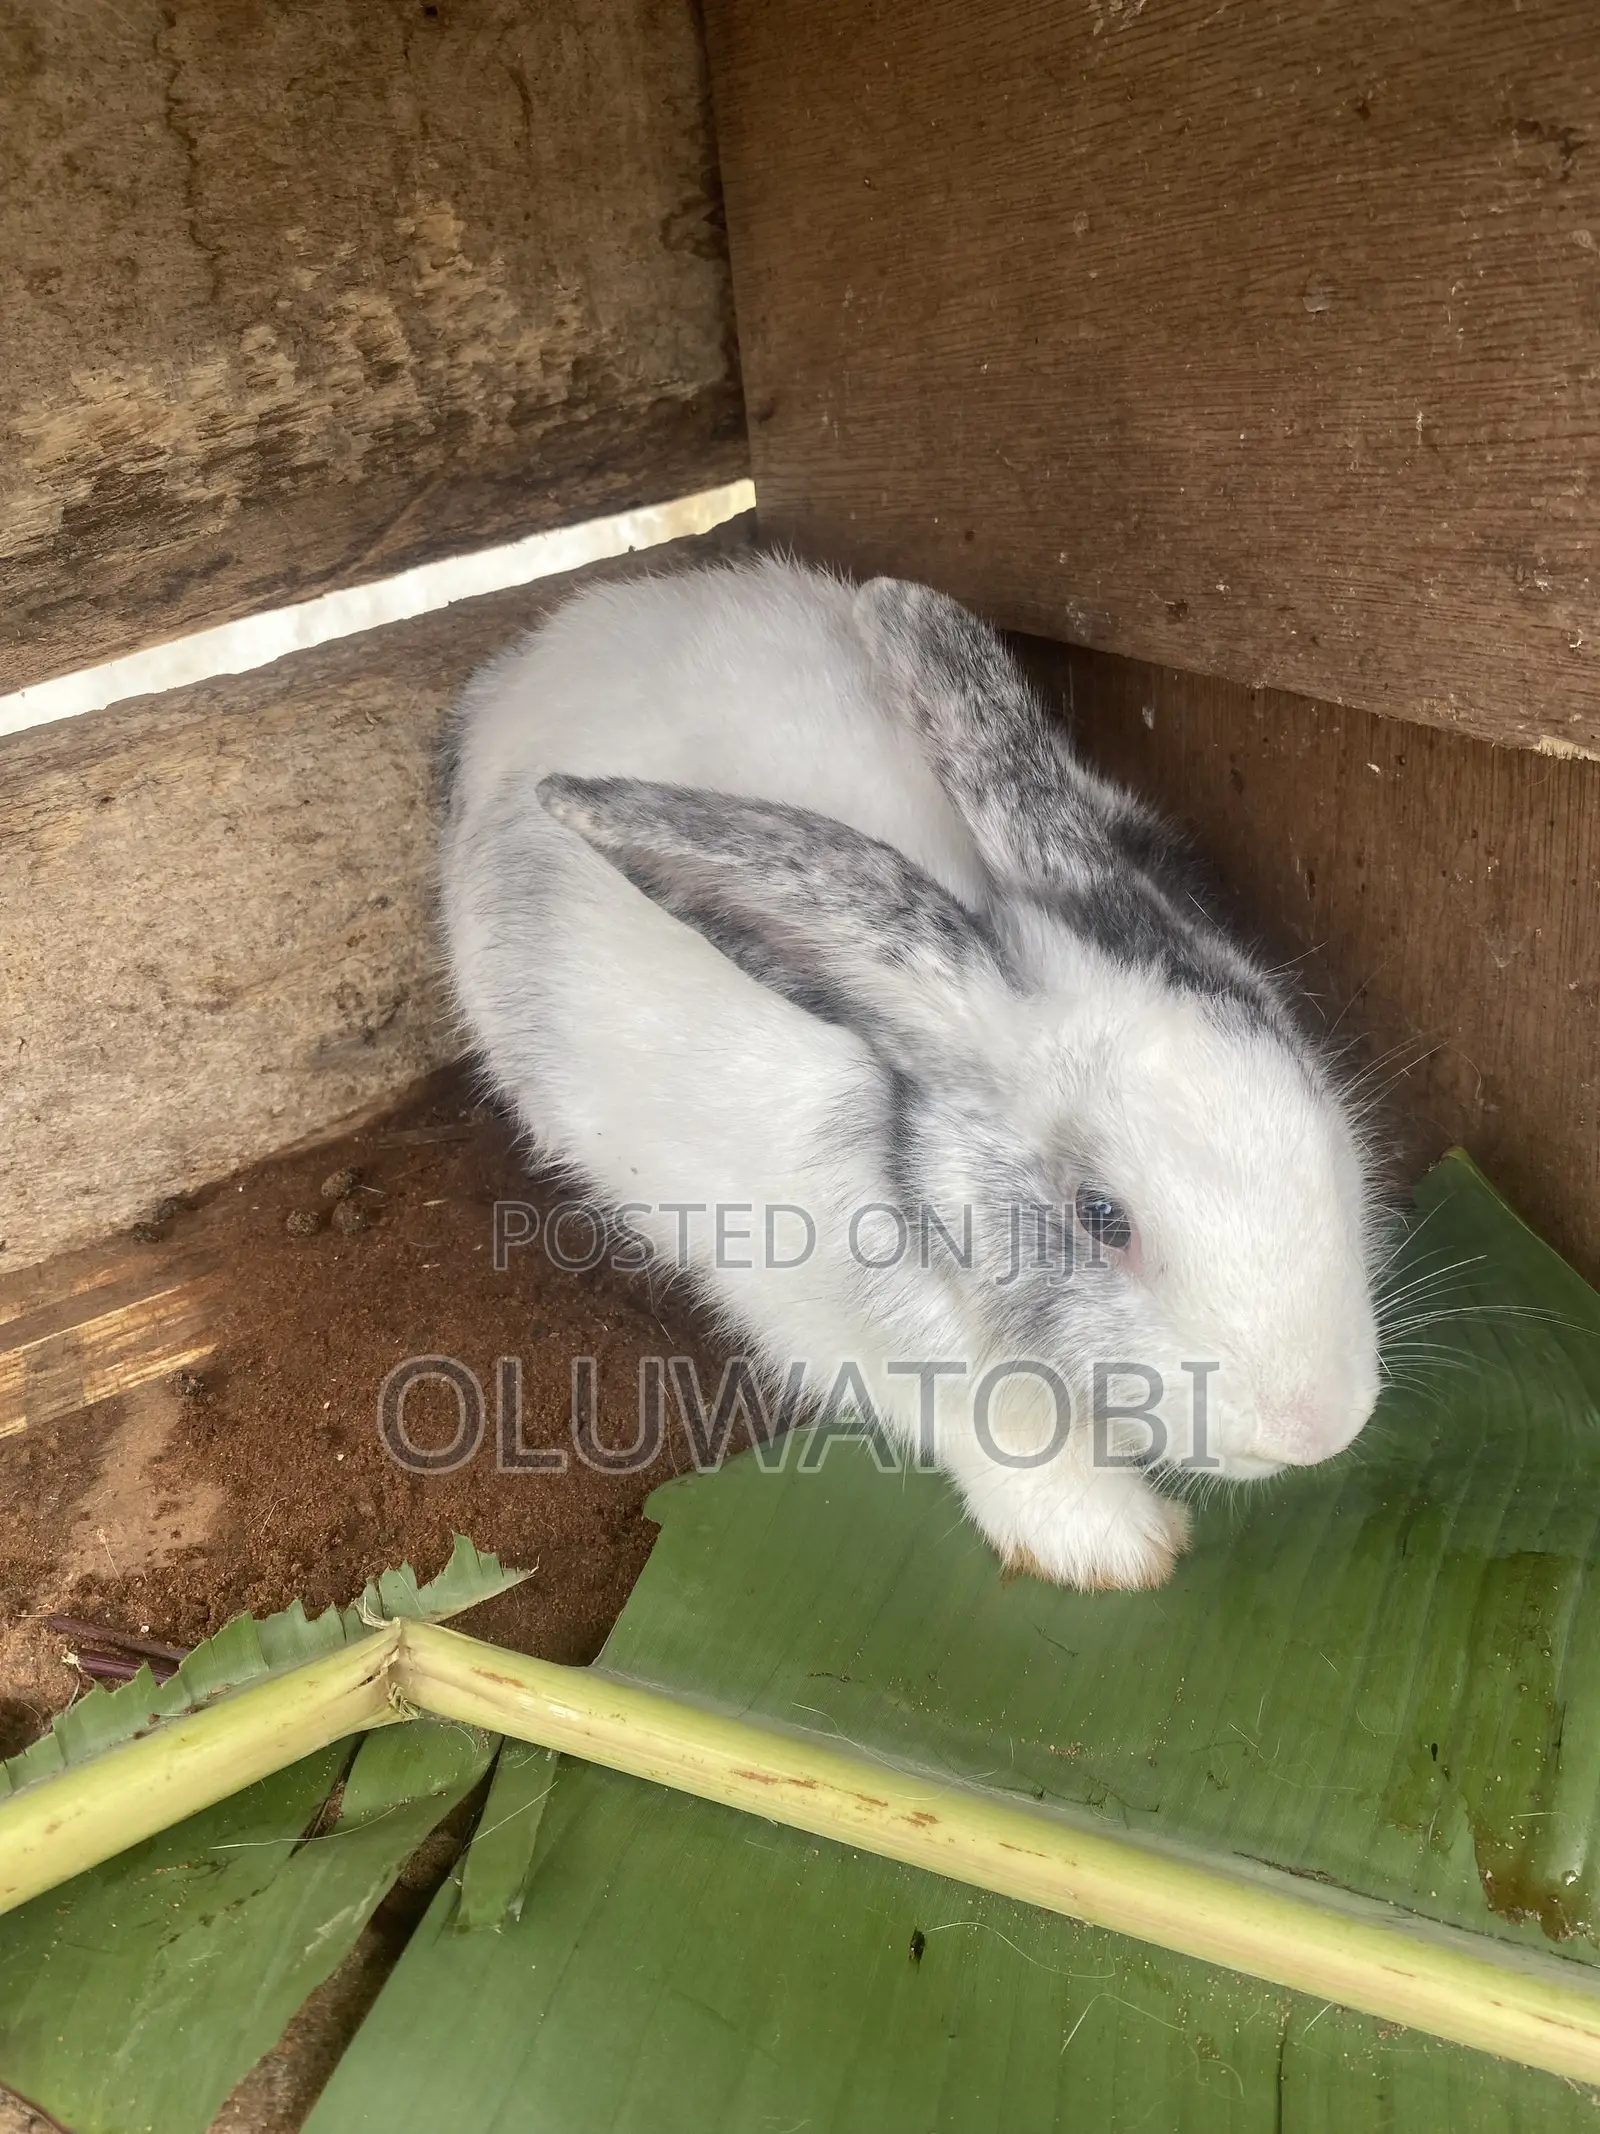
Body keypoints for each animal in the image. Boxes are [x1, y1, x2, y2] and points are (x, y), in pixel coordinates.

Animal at [439, 556, 1381, 1591]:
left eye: (1311, 1095)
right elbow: (1004, 1435)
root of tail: (549, 648)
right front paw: (1117, 1549)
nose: (1319, 1428)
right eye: (1103, 1217)